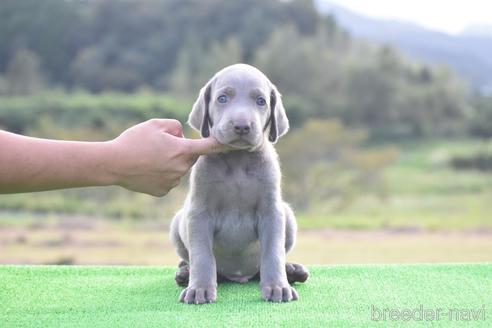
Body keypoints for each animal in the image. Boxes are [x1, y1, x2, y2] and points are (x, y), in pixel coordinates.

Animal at [169, 62, 308, 304]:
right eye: (222, 98)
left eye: (261, 101)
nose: (242, 126)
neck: (237, 160)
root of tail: (238, 277)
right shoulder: (199, 213)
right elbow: (202, 255)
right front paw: (199, 289)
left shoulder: (272, 212)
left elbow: (273, 253)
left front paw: (278, 287)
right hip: (177, 224)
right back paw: (185, 274)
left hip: (288, 216)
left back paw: (292, 271)